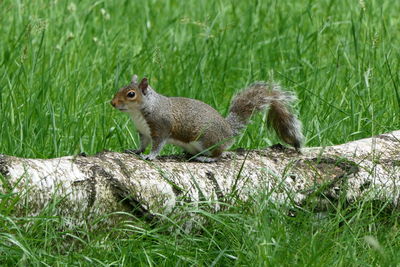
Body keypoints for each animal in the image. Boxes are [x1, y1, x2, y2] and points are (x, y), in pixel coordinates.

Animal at [110, 75, 304, 161]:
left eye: (131, 94)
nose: (112, 103)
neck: (139, 112)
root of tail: (229, 130)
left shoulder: (161, 127)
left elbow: (157, 145)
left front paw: (150, 156)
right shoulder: (144, 132)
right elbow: (143, 144)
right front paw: (136, 151)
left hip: (207, 139)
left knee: (219, 154)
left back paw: (207, 158)